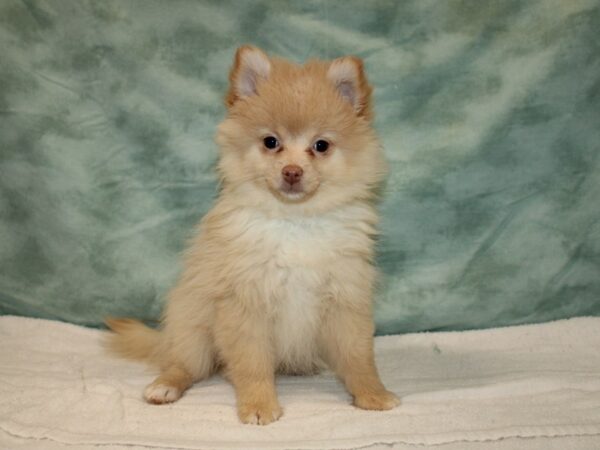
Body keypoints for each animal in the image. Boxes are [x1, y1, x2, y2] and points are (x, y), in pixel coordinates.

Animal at [106, 45, 400, 426]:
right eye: (270, 142)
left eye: (321, 145)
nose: (292, 172)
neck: (295, 222)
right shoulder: (246, 303)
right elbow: (252, 365)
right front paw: (259, 405)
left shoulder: (345, 299)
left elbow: (358, 357)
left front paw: (373, 395)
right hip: (194, 329)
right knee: (185, 363)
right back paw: (165, 385)